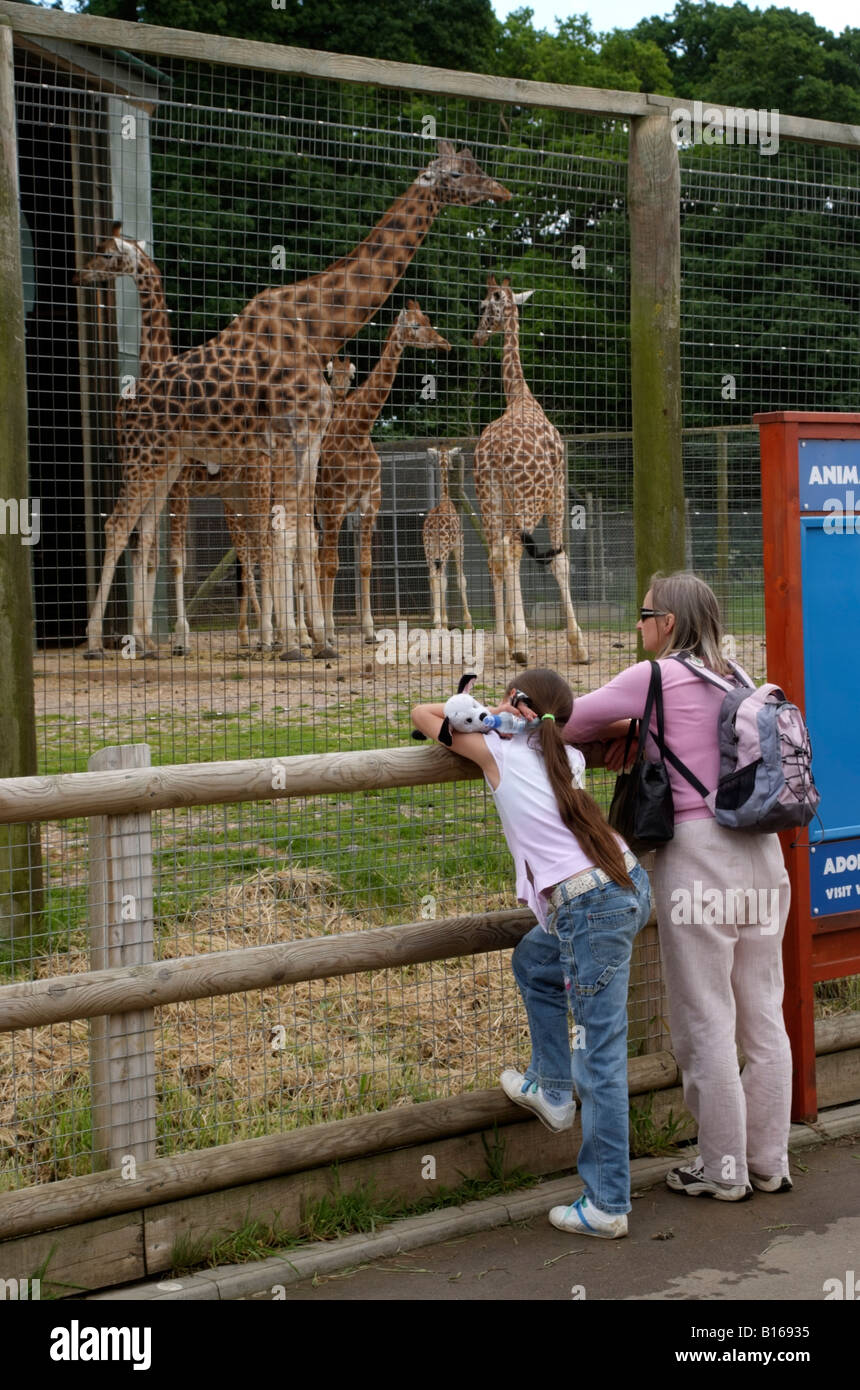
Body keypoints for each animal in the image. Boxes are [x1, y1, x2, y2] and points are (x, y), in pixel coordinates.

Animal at [316, 301, 450, 647]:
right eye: (415, 326)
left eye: (427, 319)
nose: (444, 343)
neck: (359, 430)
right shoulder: (336, 504)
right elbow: (332, 565)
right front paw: (330, 632)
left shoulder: (368, 503)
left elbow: (364, 565)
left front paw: (369, 630)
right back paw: (311, 630)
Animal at [422, 444, 472, 631]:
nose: (450, 466)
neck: (445, 497)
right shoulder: (459, 545)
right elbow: (460, 579)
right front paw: (468, 622)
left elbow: (444, 581)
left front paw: (445, 620)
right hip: (444, 548)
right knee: (438, 576)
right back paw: (437, 621)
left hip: (428, 547)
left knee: (432, 576)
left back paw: (438, 621)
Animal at [475, 276, 589, 667]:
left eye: (483, 307)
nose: (477, 336)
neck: (520, 397)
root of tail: (492, 453)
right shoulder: (556, 491)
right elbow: (560, 561)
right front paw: (577, 645)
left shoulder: (508, 505)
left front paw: (508, 639)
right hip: (529, 499)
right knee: (510, 552)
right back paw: (521, 646)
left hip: (489, 498)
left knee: (496, 554)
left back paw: (500, 648)